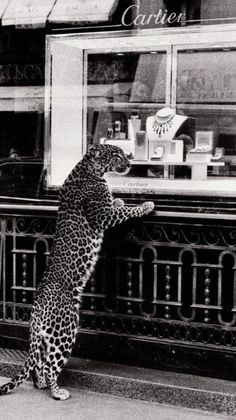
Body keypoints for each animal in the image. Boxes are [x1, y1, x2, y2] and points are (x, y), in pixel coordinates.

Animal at [0, 144, 154, 400]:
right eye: (116, 154)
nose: (130, 163)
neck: (89, 169)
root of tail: (37, 311)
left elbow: (116, 205)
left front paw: (119, 200)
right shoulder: (102, 216)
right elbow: (124, 213)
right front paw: (144, 206)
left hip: (45, 338)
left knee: (39, 363)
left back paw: (41, 384)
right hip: (65, 330)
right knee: (51, 365)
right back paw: (57, 392)